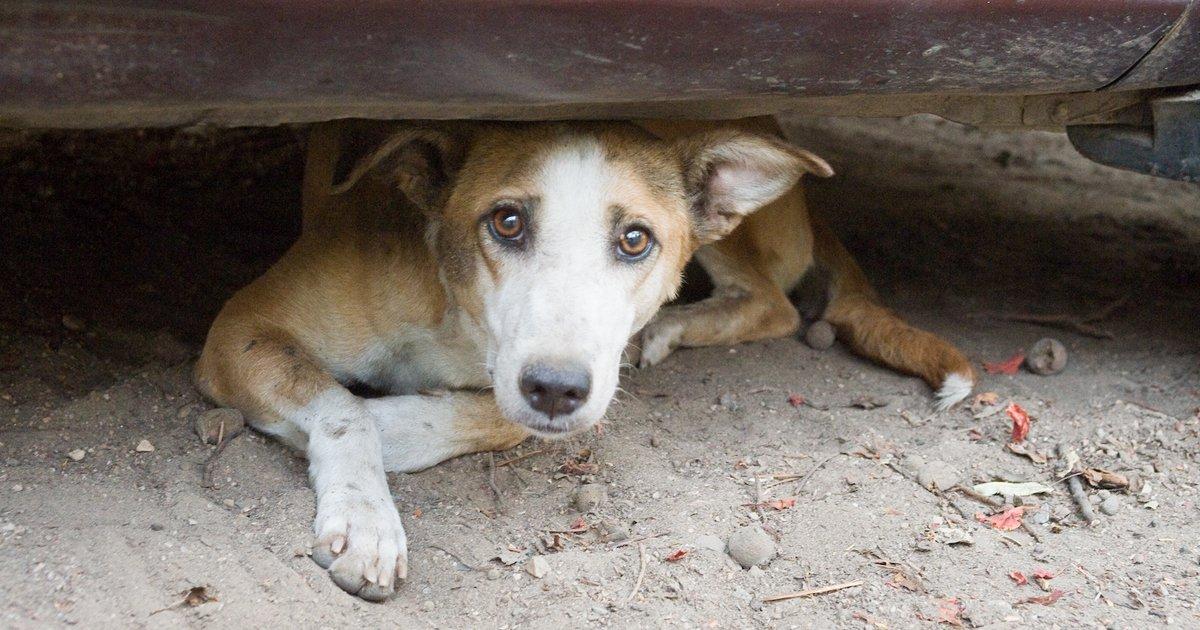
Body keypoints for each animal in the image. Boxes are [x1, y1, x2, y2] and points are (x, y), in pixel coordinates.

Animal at [192, 116, 969, 600]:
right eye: (506, 222)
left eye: (635, 239)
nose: (556, 389)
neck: (457, 319)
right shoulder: (240, 327)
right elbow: (341, 405)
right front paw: (365, 516)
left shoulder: (561, 382)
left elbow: (487, 417)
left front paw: (392, 431)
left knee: (773, 303)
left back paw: (668, 329)